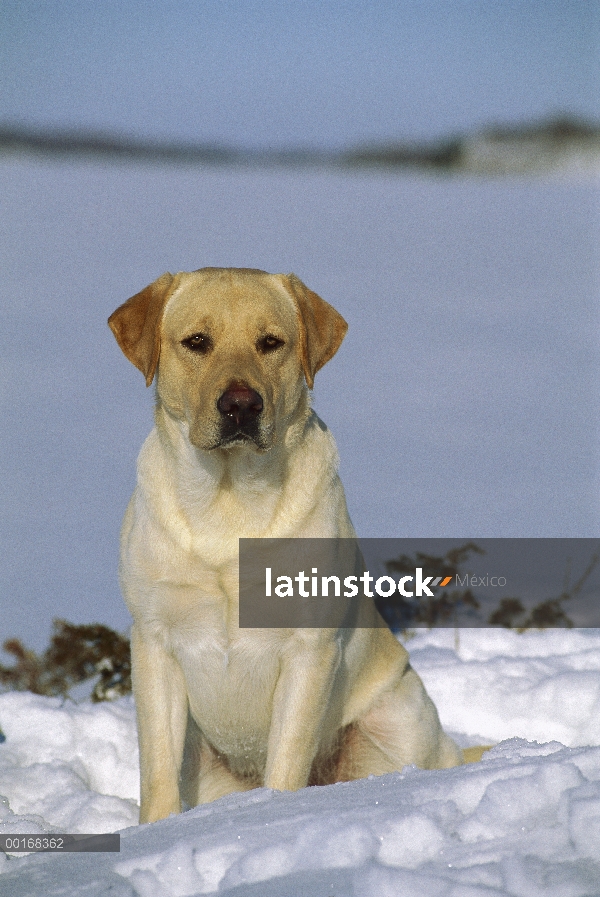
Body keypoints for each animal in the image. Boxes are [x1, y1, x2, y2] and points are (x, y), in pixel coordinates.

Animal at [109, 268, 464, 824]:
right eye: (196, 342)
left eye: (271, 342)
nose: (241, 404)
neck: (229, 503)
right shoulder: (154, 641)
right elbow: (158, 770)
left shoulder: (308, 649)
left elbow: (287, 759)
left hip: (396, 717)